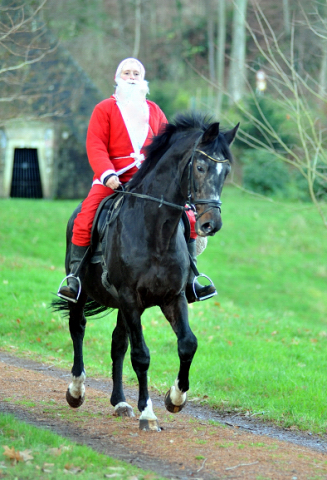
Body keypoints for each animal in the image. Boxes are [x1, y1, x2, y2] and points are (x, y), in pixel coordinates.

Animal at [53, 113, 238, 432]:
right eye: (200, 167)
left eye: (225, 172)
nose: (210, 224)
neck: (156, 231)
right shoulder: (130, 298)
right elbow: (141, 355)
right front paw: (148, 413)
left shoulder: (172, 297)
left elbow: (187, 344)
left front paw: (175, 398)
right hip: (84, 293)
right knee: (78, 328)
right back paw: (76, 390)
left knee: (117, 343)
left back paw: (120, 402)